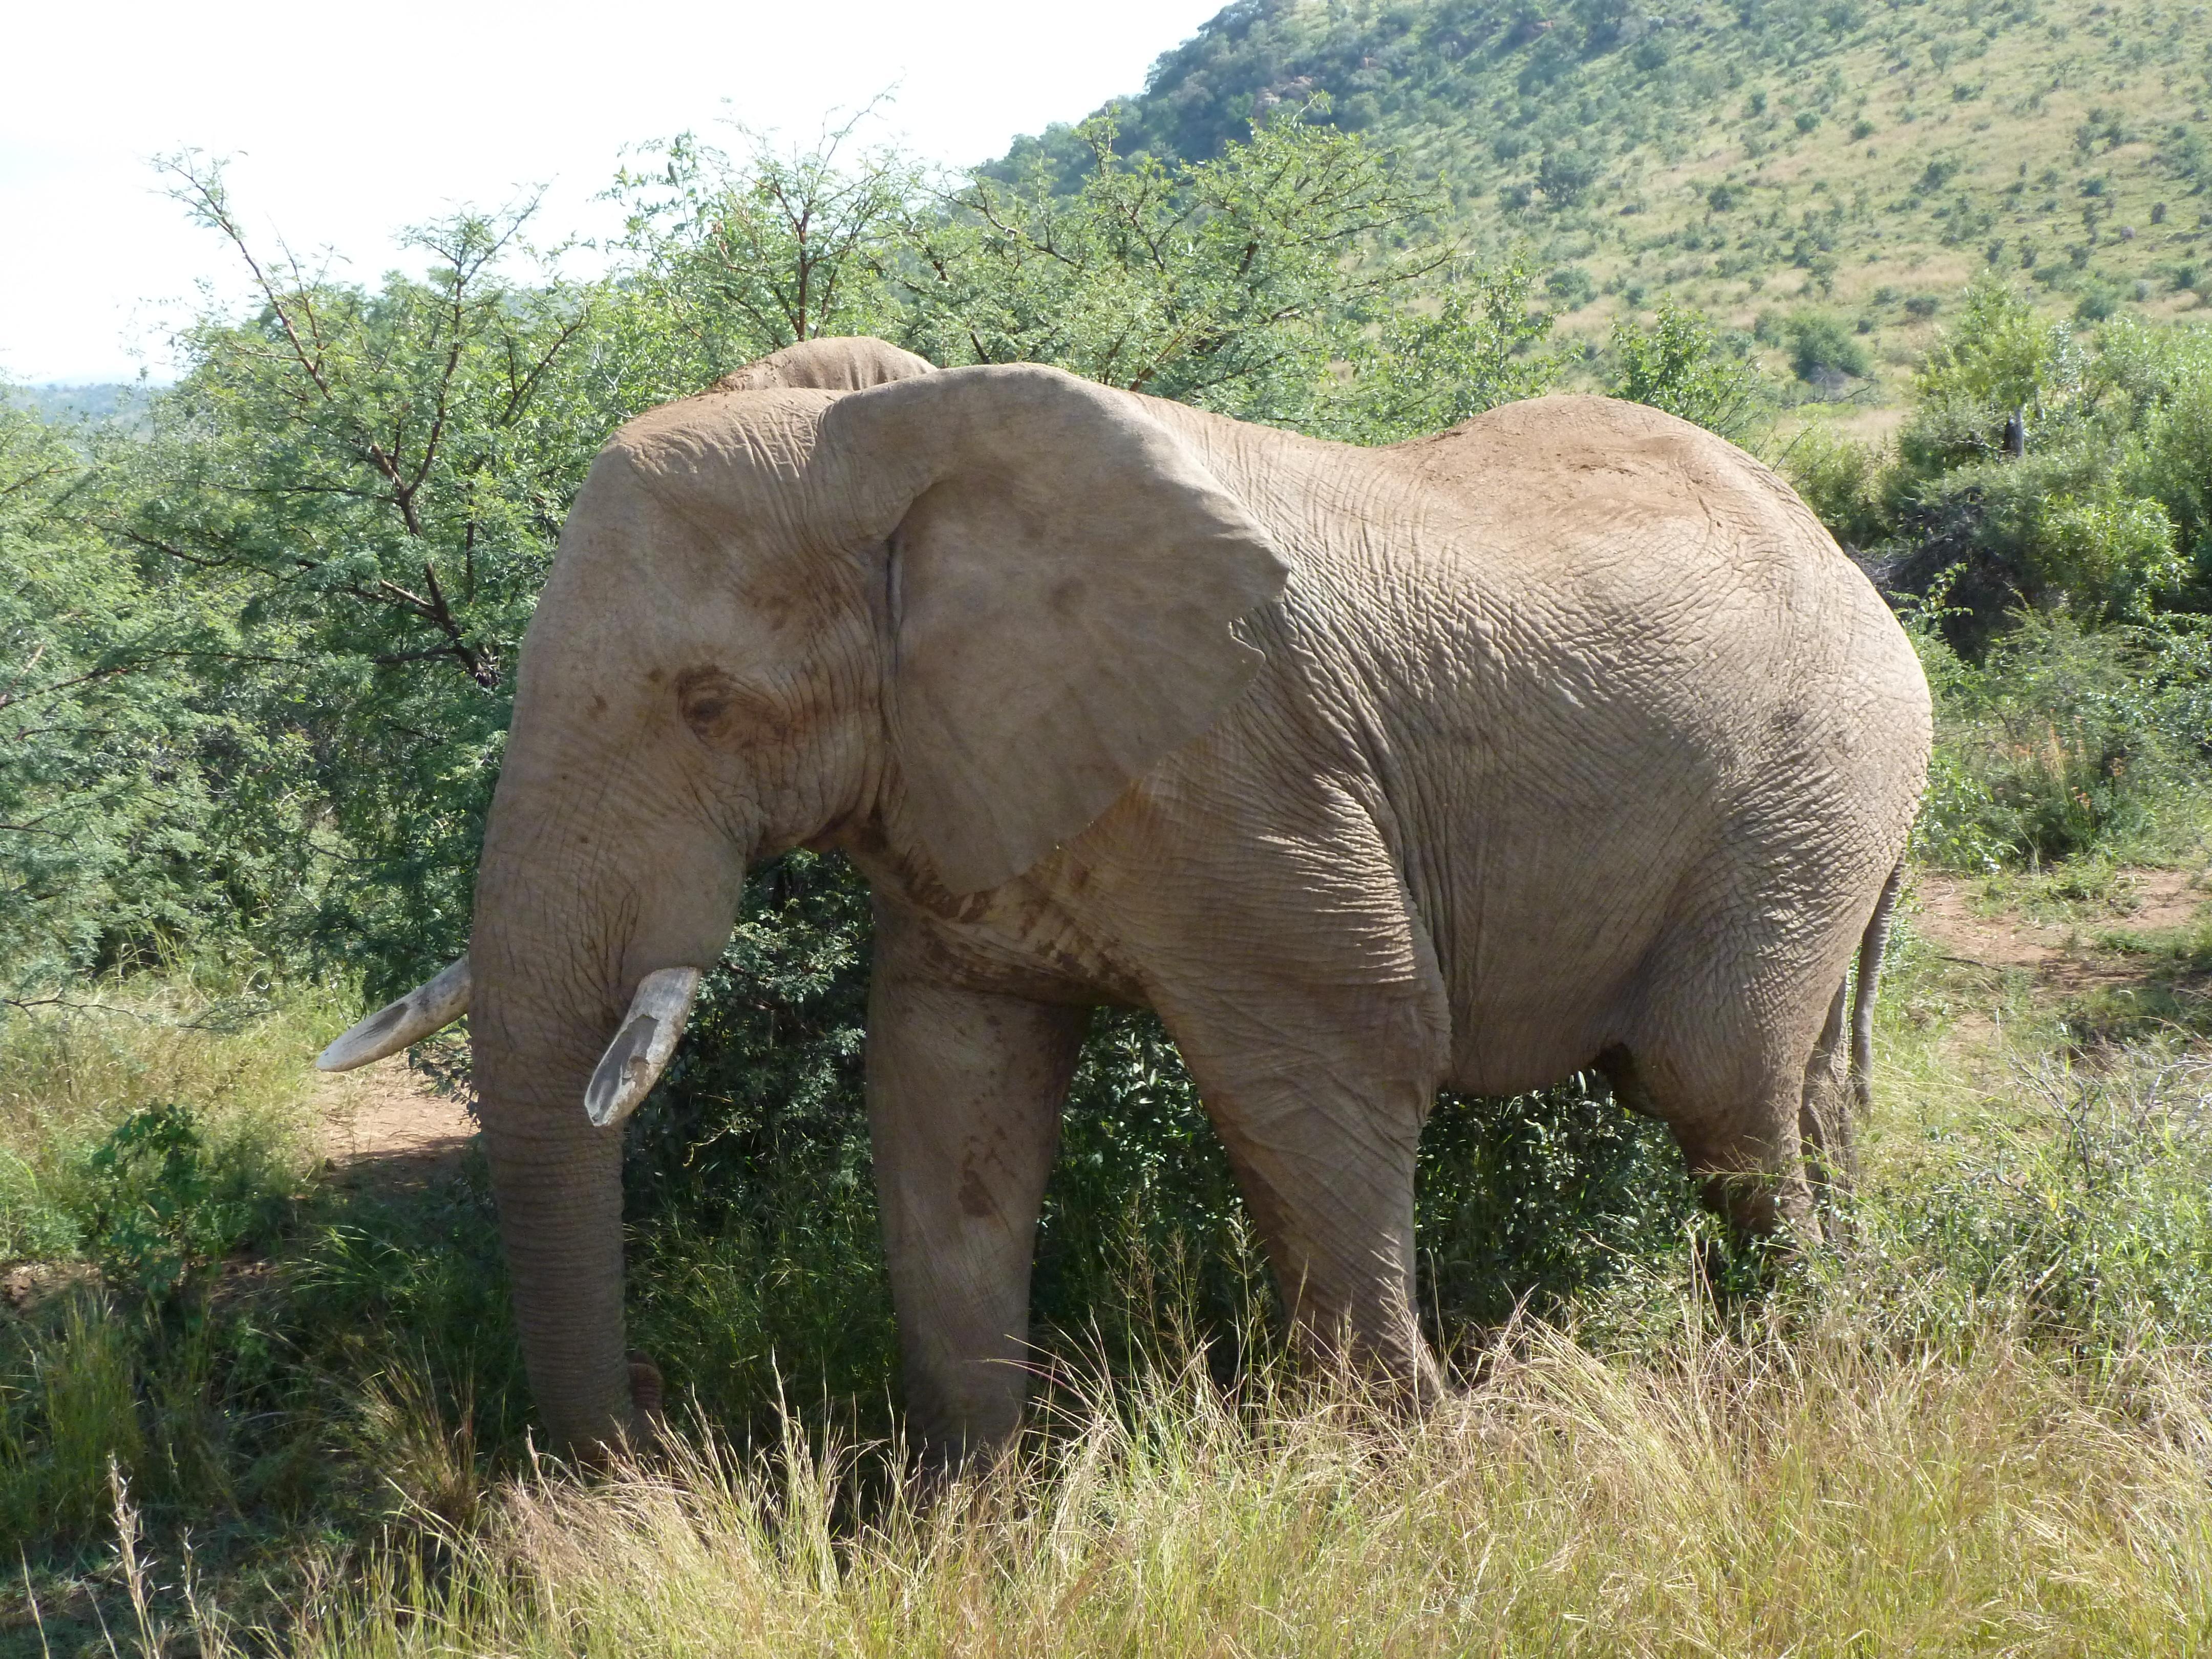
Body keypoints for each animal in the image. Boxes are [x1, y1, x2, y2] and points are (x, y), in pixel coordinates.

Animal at [318, 335, 1931, 1464]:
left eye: (708, 705)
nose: (658, 1420)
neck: (900, 443)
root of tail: (1850, 562)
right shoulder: (963, 781)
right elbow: (949, 1097)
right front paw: (968, 1519)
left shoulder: (1255, 771)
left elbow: (1330, 1076)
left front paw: (1399, 1480)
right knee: (1800, 1090)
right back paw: (1853, 1318)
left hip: (1815, 773)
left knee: (1715, 1085)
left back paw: (1792, 1375)